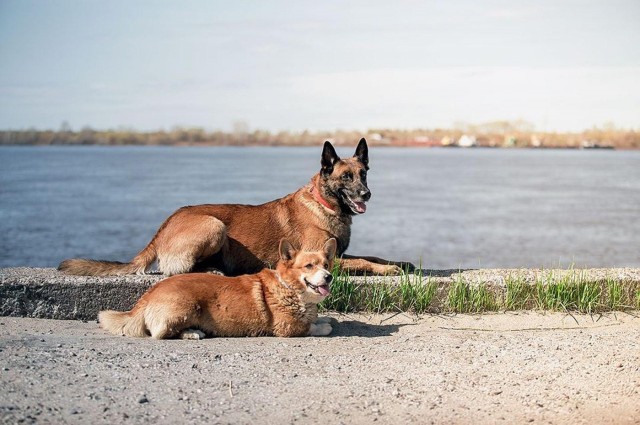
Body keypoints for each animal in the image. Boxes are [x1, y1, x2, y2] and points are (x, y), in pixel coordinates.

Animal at [58, 139, 404, 276]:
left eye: (364, 173)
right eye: (346, 177)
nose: (367, 194)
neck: (324, 205)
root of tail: (165, 223)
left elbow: (373, 256)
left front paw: (399, 263)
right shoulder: (328, 260)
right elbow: (365, 262)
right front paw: (390, 270)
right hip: (214, 225)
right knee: (177, 270)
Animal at [99, 238, 336, 338]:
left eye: (326, 264)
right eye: (309, 266)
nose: (329, 277)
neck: (291, 289)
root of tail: (146, 297)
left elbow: (317, 318)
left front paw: (323, 318)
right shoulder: (287, 327)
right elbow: (311, 327)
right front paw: (324, 326)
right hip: (187, 307)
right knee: (160, 333)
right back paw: (193, 333)